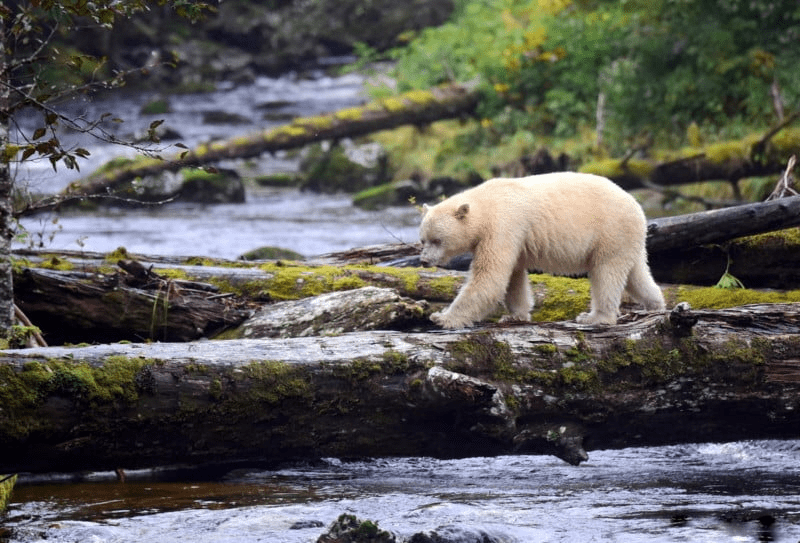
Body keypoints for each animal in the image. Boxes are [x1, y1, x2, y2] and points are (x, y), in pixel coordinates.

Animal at [422, 173, 664, 328]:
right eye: (423, 240)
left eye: (437, 240)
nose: (424, 260)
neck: (485, 204)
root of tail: (636, 204)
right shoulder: (513, 238)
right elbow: (514, 277)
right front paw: (515, 316)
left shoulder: (502, 226)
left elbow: (489, 277)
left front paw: (442, 318)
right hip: (627, 239)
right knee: (636, 273)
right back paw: (655, 304)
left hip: (610, 230)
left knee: (606, 273)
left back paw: (594, 318)